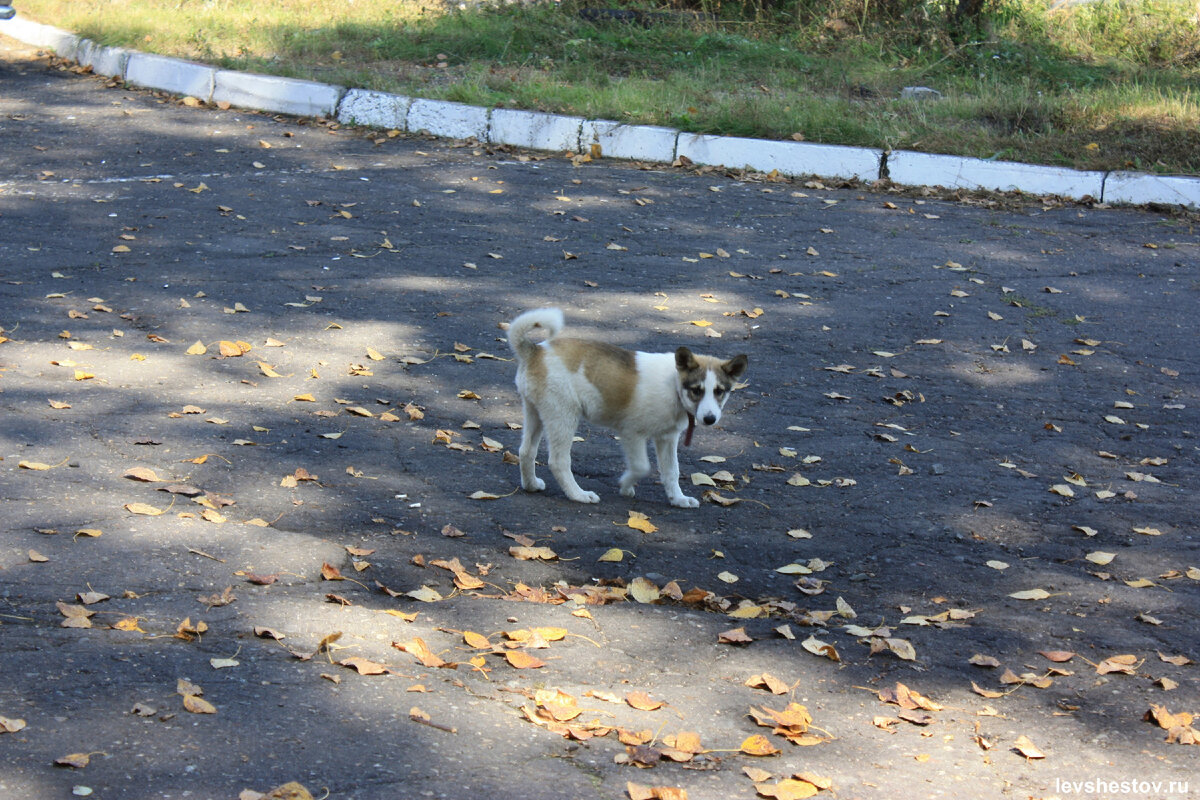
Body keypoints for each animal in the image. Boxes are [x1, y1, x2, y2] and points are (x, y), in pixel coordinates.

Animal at [508, 307, 748, 506]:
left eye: (719, 391)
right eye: (696, 390)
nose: (710, 419)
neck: (674, 386)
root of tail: (535, 351)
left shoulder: (667, 438)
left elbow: (671, 471)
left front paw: (678, 499)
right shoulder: (632, 433)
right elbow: (642, 466)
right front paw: (625, 485)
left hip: (536, 412)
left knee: (526, 451)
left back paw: (531, 485)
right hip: (563, 416)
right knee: (558, 461)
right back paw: (578, 495)